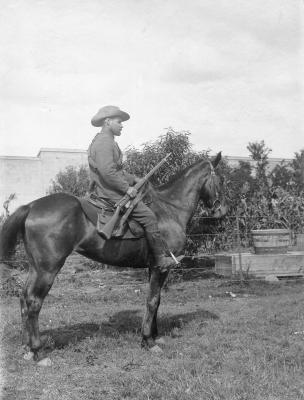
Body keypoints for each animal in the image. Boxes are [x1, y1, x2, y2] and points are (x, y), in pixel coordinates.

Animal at [0, 152, 227, 358]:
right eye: (220, 180)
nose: (221, 211)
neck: (170, 209)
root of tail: (31, 207)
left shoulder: (153, 268)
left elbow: (157, 299)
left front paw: (155, 335)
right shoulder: (161, 266)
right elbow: (152, 301)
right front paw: (148, 340)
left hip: (36, 268)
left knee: (23, 298)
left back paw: (26, 347)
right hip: (48, 269)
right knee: (33, 301)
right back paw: (38, 352)